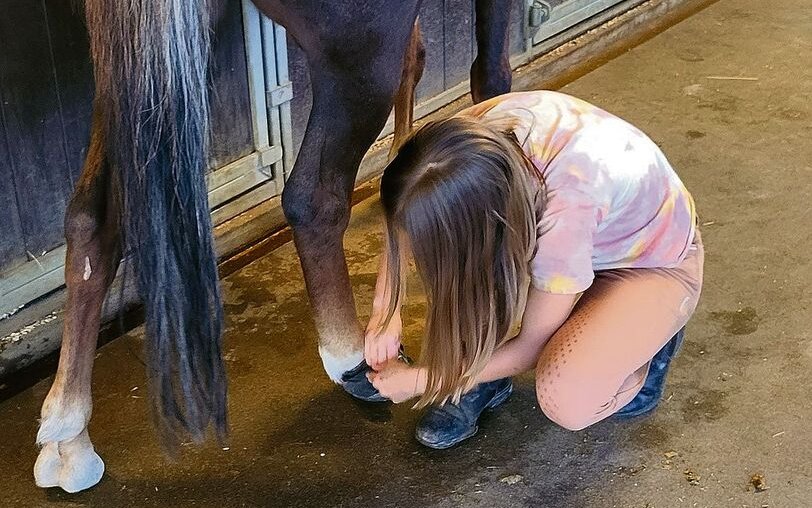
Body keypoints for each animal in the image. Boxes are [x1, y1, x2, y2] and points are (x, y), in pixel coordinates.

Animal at [33, 0, 512, 492]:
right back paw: (352, 360)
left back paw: (68, 436)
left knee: (90, 220)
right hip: (359, 55)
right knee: (312, 200)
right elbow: (489, 75)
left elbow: (417, 61)